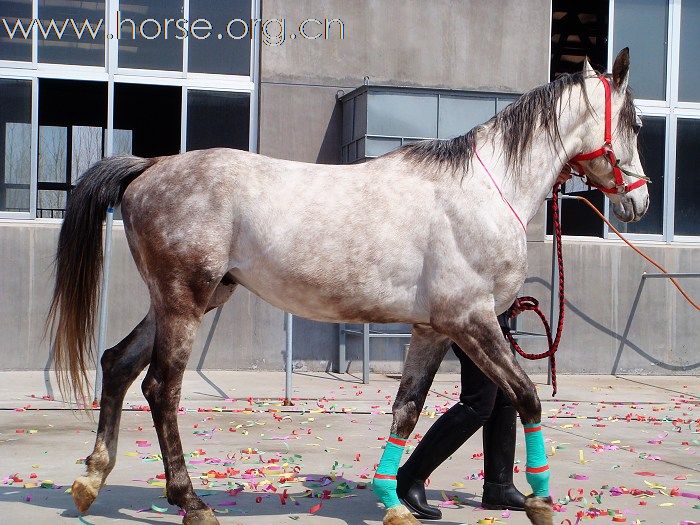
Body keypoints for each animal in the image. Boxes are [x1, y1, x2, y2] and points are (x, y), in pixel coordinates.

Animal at [49, 50, 648, 524]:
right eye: (637, 122)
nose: (639, 201)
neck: (483, 187)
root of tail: (149, 168)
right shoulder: (471, 322)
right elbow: (526, 397)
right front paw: (541, 500)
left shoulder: (433, 329)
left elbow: (407, 408)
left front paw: (395, 502)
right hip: (184, 304)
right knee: (160, 389)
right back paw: (190, 501)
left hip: (178, 302)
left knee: (118, 364)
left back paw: (91, 480)